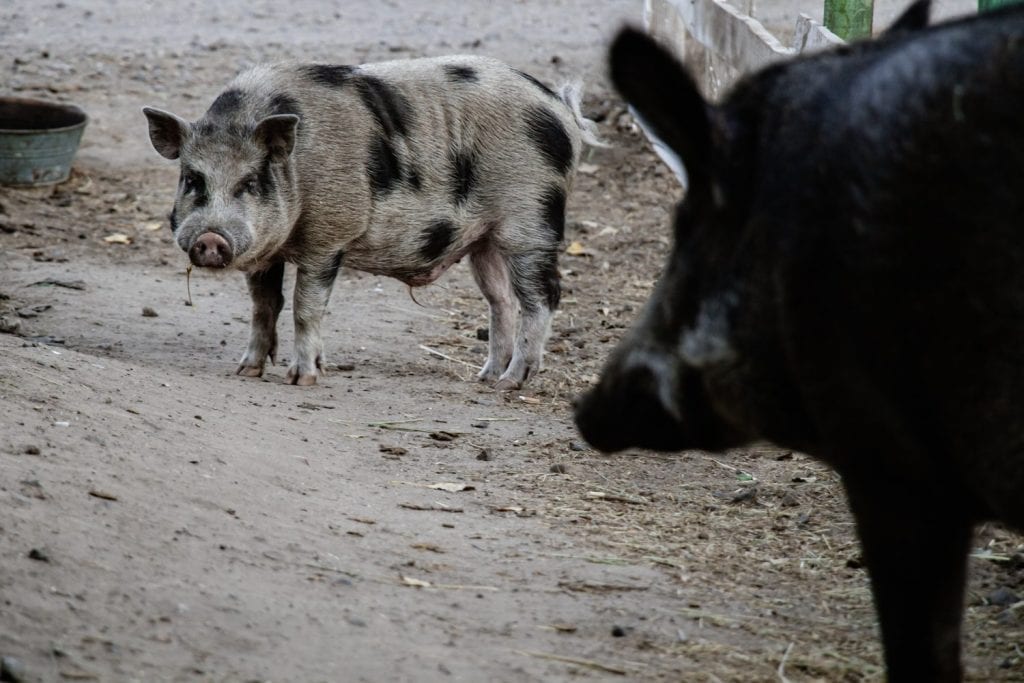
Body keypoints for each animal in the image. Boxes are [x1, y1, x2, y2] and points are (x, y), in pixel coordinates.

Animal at [143, 55, 601, 387]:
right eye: (192, 179)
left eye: (251, 182)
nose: (211, 240)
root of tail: (561, 109)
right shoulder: (267, 251)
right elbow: (263, 306)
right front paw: (246, 370)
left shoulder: (328, 236)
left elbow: (305, 307)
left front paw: (302, 378)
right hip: (483, 240)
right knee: (500, 300)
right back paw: (484, 378)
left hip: (532, 221)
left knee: (542, 297)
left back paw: (512, 382)